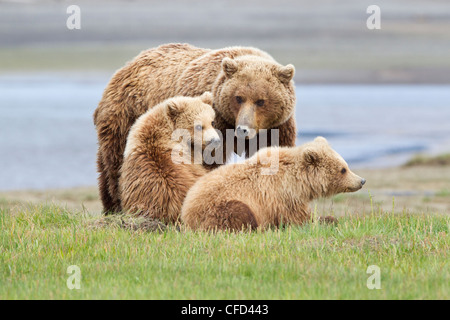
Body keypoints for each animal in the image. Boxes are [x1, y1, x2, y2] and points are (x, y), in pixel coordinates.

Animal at [181, 136, 368, 231]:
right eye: (343, 169)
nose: (361, 181)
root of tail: (186, 211)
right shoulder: (282, 197)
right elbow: (300, 218)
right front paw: (329, 219)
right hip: (218, 207)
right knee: (239, 213)